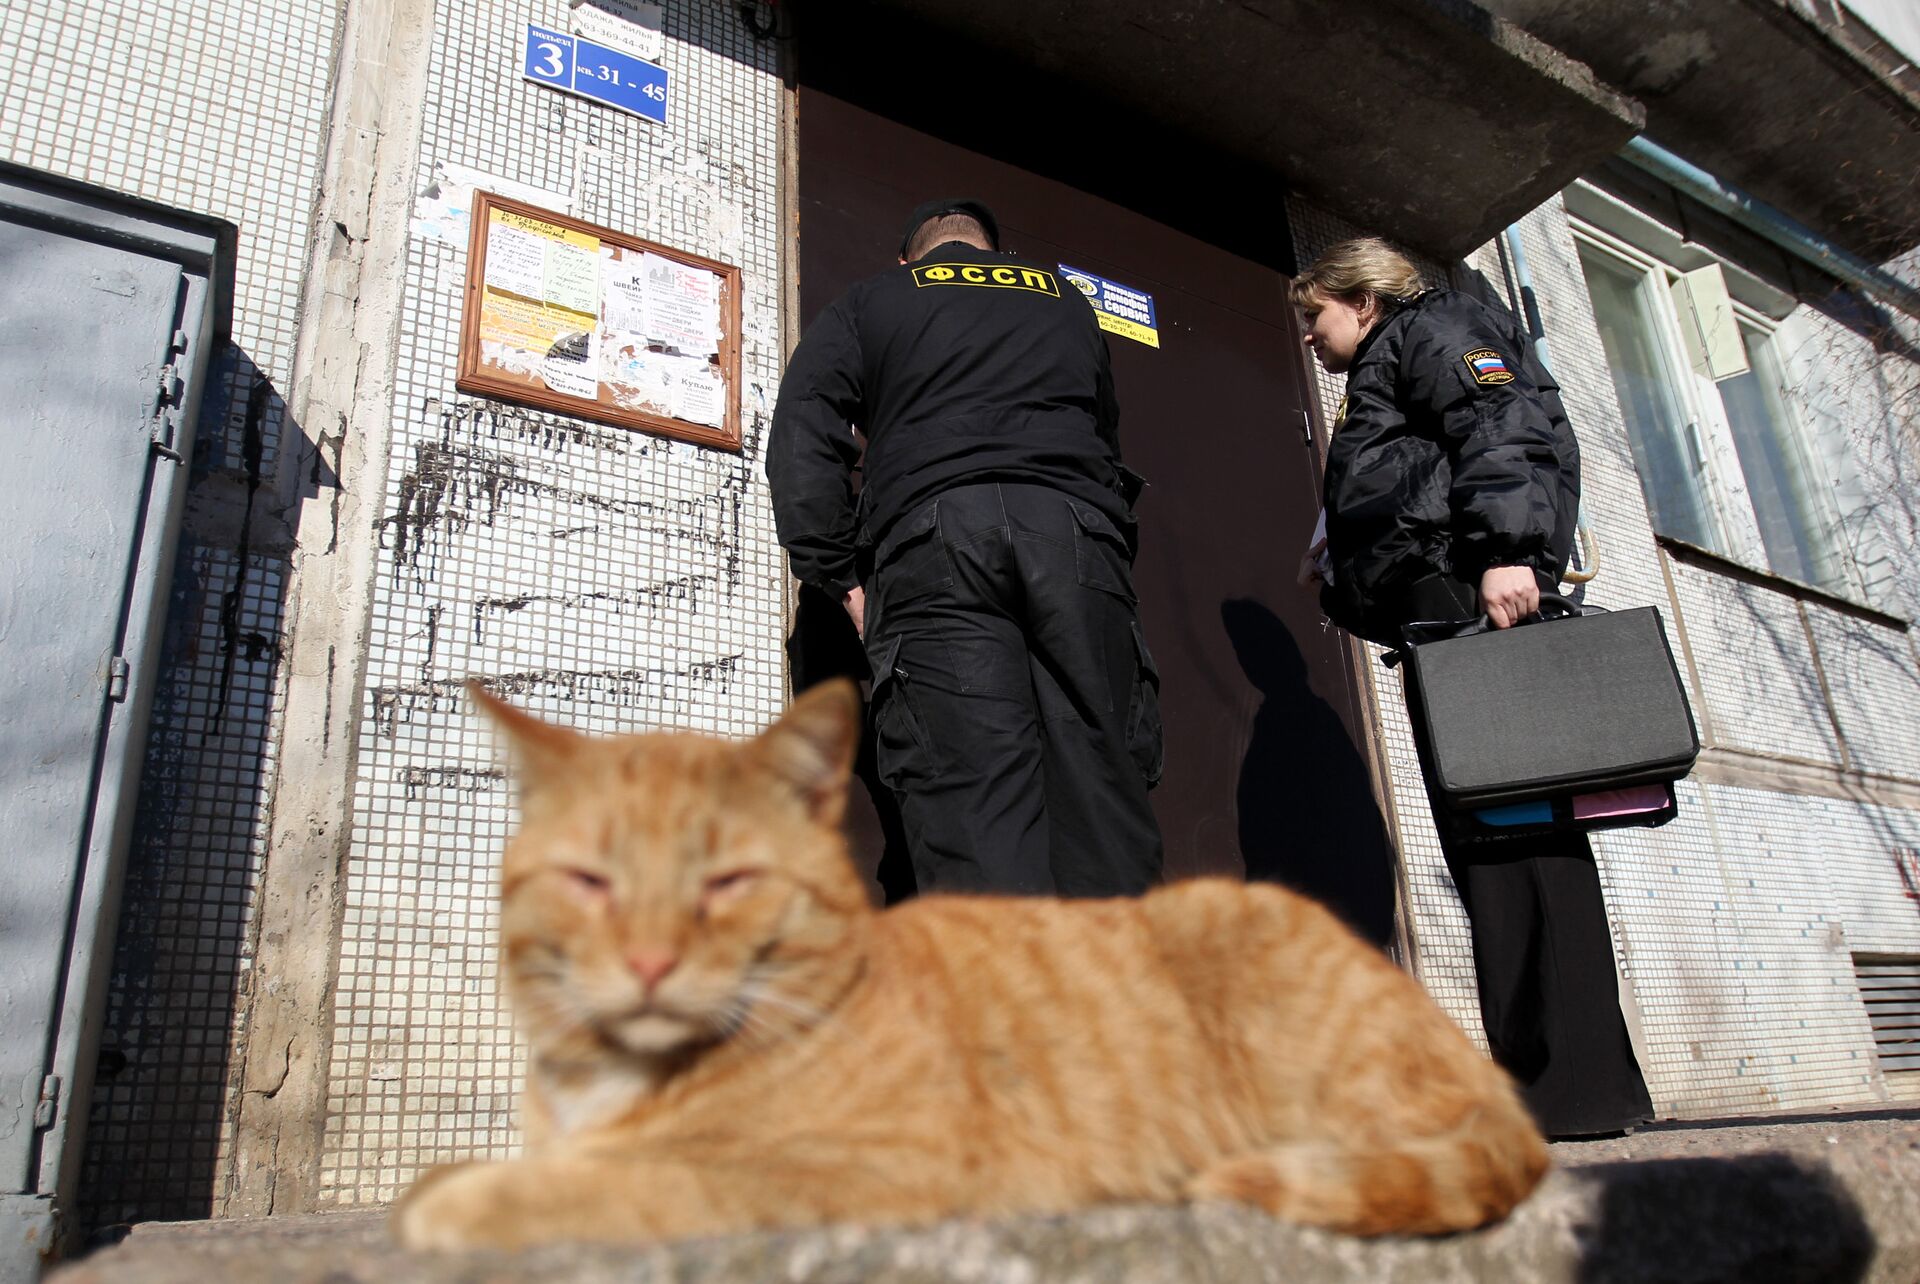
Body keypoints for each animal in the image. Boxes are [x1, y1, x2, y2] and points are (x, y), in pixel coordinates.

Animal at [389, 679, 1543, 1251]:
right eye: (591, 881)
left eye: (727, 883)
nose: (648, 959)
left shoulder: (870, 1167)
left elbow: (652, 1181)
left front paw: (466, 1205)